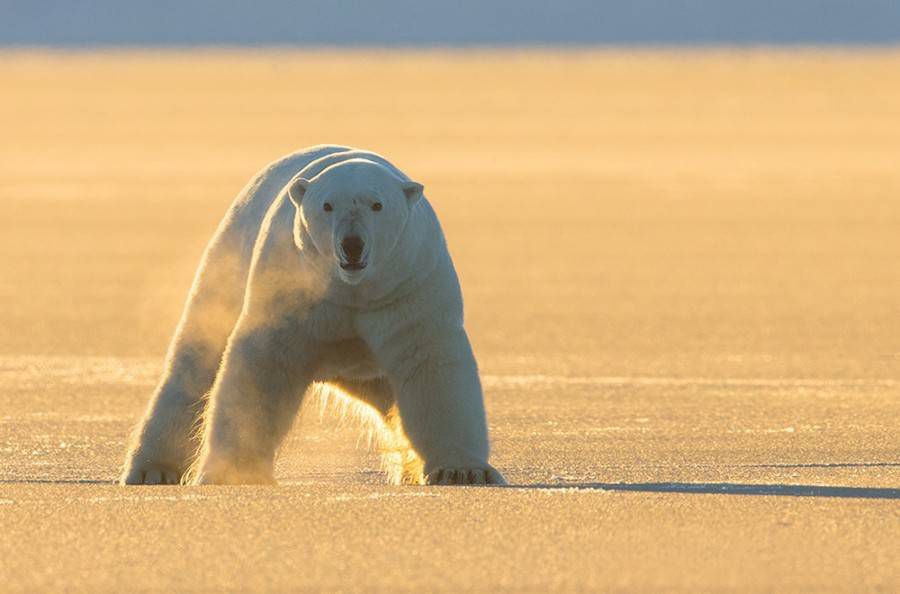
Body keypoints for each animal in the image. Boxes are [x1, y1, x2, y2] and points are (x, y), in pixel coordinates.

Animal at [118, 145, 506, 486]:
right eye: (327, 205)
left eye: (377, 204)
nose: (352, 244)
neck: (352, 291)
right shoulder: (293, 288)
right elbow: (262, 367)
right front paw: (235, 472)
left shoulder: (408, 290)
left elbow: (432, 368)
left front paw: (464, 471)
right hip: (227, 261)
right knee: (194, 365)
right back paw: (152, 469)